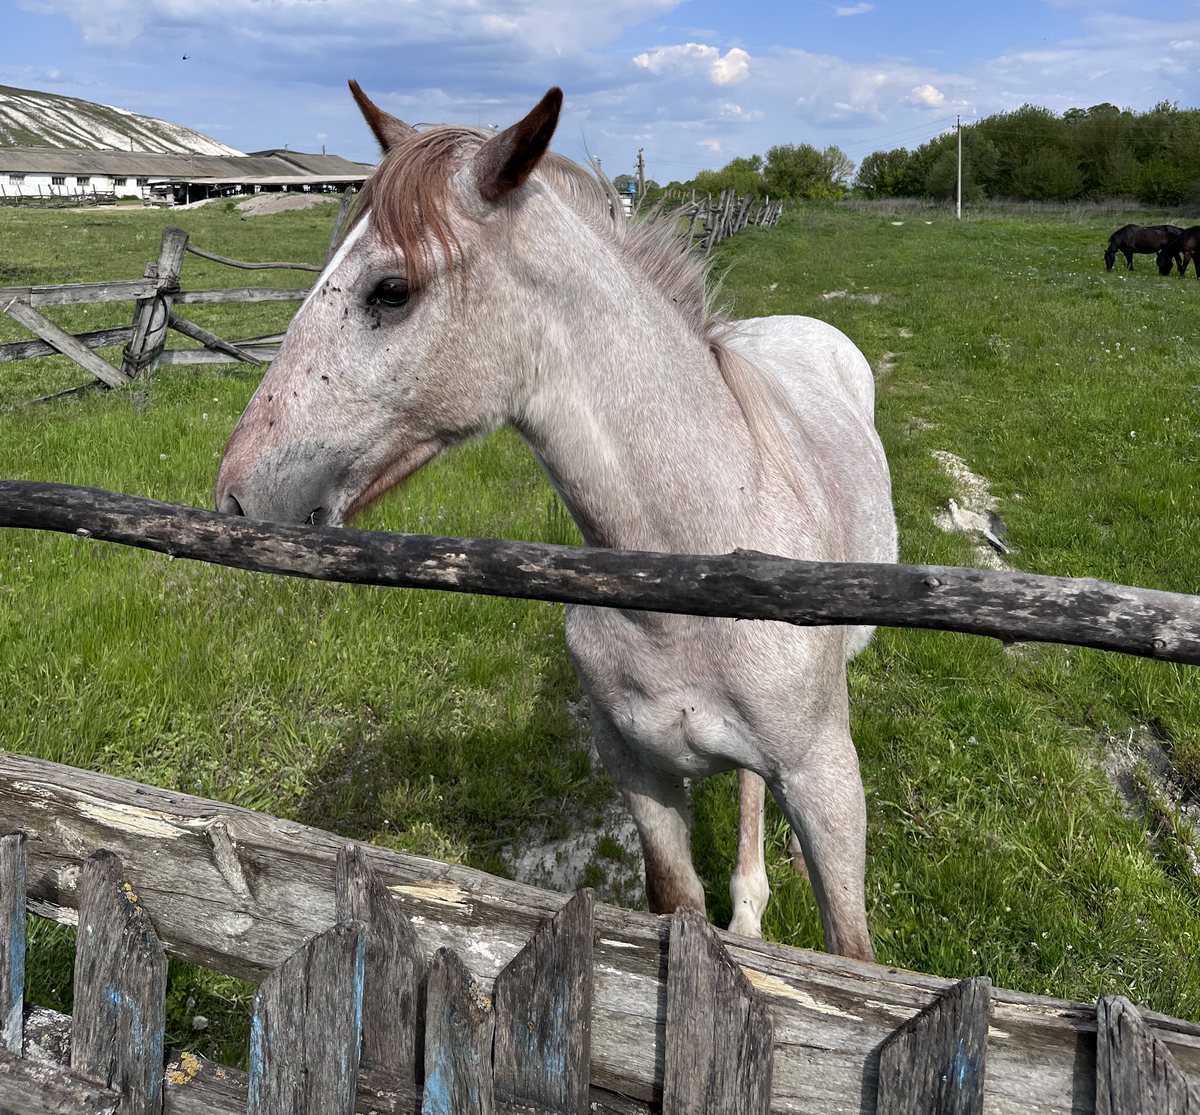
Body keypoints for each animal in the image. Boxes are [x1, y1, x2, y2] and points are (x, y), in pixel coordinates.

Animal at [213, 84, 902, 955]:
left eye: (391, 290)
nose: (236, 498)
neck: (688, 580)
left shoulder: (826, 784)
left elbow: (853, 954)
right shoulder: (641, 778)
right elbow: (678, 907)